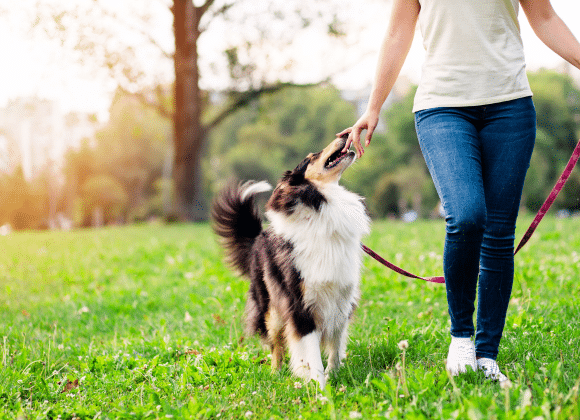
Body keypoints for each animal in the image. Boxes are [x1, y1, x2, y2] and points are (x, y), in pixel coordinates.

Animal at [211, 135, 370, 388]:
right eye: (311, 157)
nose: (343, 135)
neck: (322, 204)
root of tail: (258, 237)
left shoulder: (342, 299)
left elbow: (335, 346)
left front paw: (333, 375)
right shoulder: (299, 305)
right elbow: (311, 352)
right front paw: (320, 388)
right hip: (272, 310)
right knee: (276, 345)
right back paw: (275, 374)